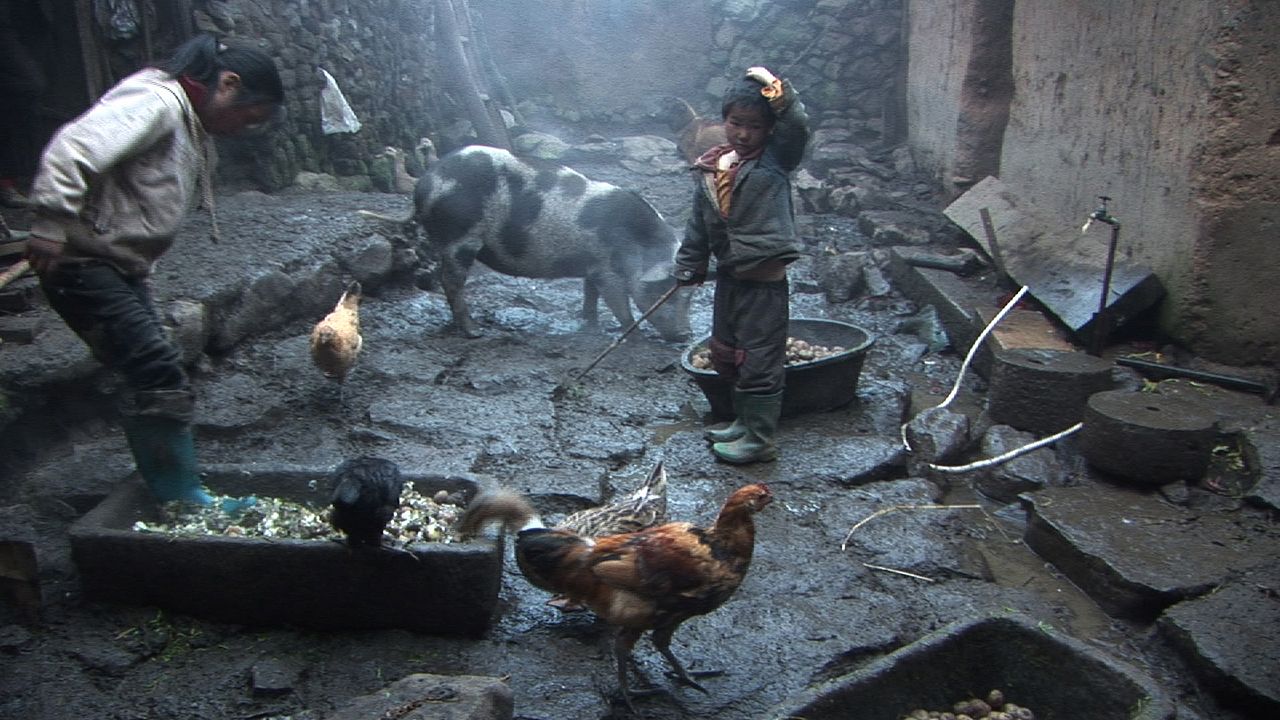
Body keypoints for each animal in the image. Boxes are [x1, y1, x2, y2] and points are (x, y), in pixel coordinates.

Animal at [404, 144, 696, 340]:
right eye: (663, 291)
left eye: (690, 296)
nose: (686, 335)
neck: (638, 244)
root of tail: (429, 178)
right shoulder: (607, 269)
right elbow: (619, 304)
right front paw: (636, 338)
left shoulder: (592, 265)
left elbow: (590, 294)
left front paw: (590, 326)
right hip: (460, 237)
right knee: (451, 282)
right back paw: (474, 332)